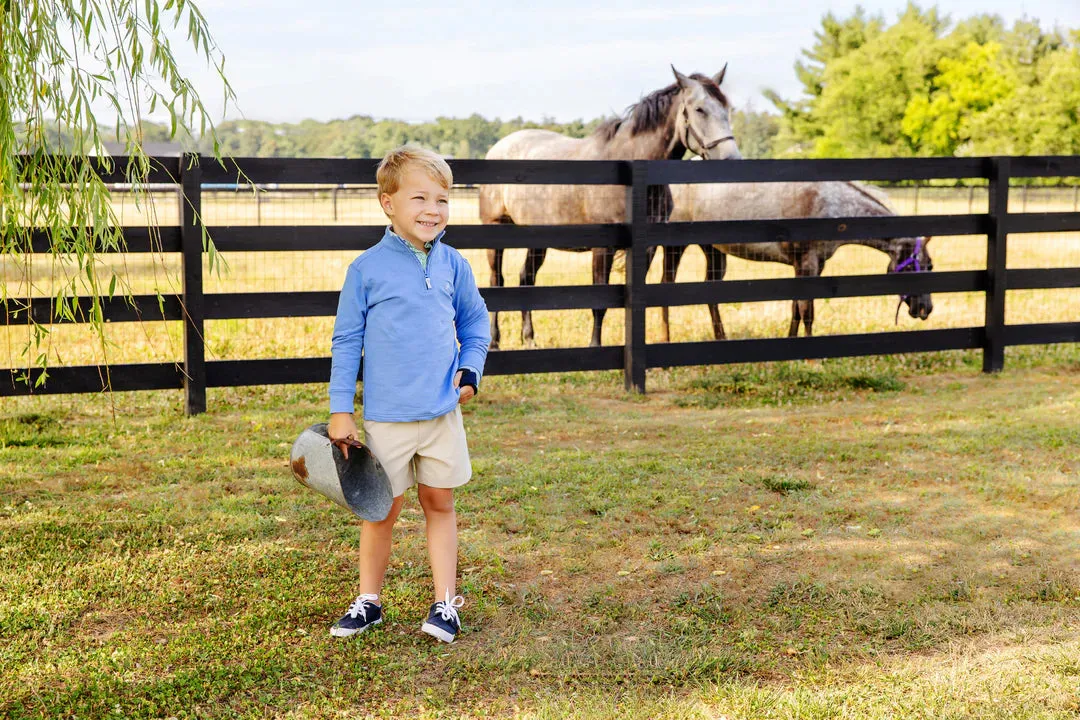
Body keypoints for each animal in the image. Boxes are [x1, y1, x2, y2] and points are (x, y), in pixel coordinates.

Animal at [481, 65, 743, 349]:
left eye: (727, 109)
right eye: (699, 109)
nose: (732, 159)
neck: (631, 169)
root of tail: (497, 148)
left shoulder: (646, 249)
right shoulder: (602, 248)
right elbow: (599, 303)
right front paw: (595, 346)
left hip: (537, 238)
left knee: (526, 278)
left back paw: (529, 339)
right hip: (495, 230)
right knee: (496, 281)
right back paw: (494, 341)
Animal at [660, 179, 933, 338]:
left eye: (931, 266)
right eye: (922, 266)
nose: (925, 309)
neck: (831, 205)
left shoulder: (812, 266)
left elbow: (796, 309)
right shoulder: (806, 263)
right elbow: (807, 310)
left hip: (714, 252)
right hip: (675, 248)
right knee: (665, 287)